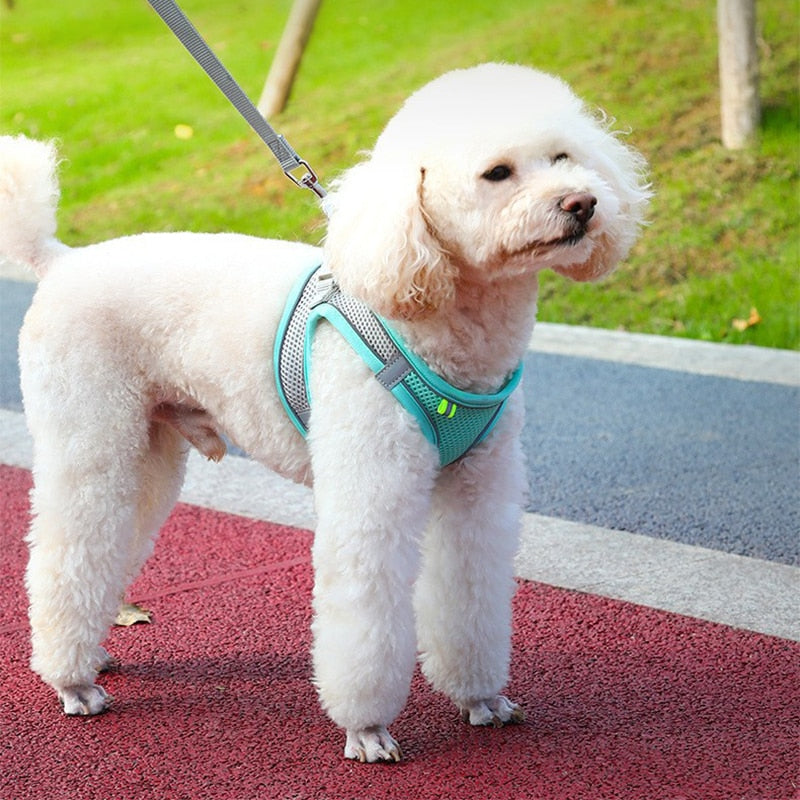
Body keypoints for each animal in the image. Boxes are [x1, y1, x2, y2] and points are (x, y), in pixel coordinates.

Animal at [0, 62, 648, 764]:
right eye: (497, 172)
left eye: (564, 157)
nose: (582, 204)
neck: (437, 320)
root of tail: (60, 260)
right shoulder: (373, 486)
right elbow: (365, 610)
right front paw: (366, 728)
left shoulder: (478, 489)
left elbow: (469, 590)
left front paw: (479, 697)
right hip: (89, 433)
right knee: (66, 549)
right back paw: (70, 680)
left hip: (147, 447)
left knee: (112, 539)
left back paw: (91, 653)